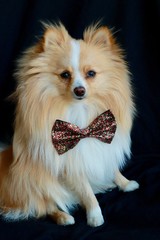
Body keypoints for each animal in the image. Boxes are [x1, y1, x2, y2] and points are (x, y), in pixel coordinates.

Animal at [0, 21, 139, 226]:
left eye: (91, 73)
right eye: (65, 75)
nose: (79, 90)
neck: (82, 114)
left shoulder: (103, 146)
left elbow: (111, 167)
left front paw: (126, 183)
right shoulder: (71, 163)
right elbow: (87, 192)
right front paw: (95, 216)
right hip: (33, 180)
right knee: (43, 205)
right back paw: (63, 216)